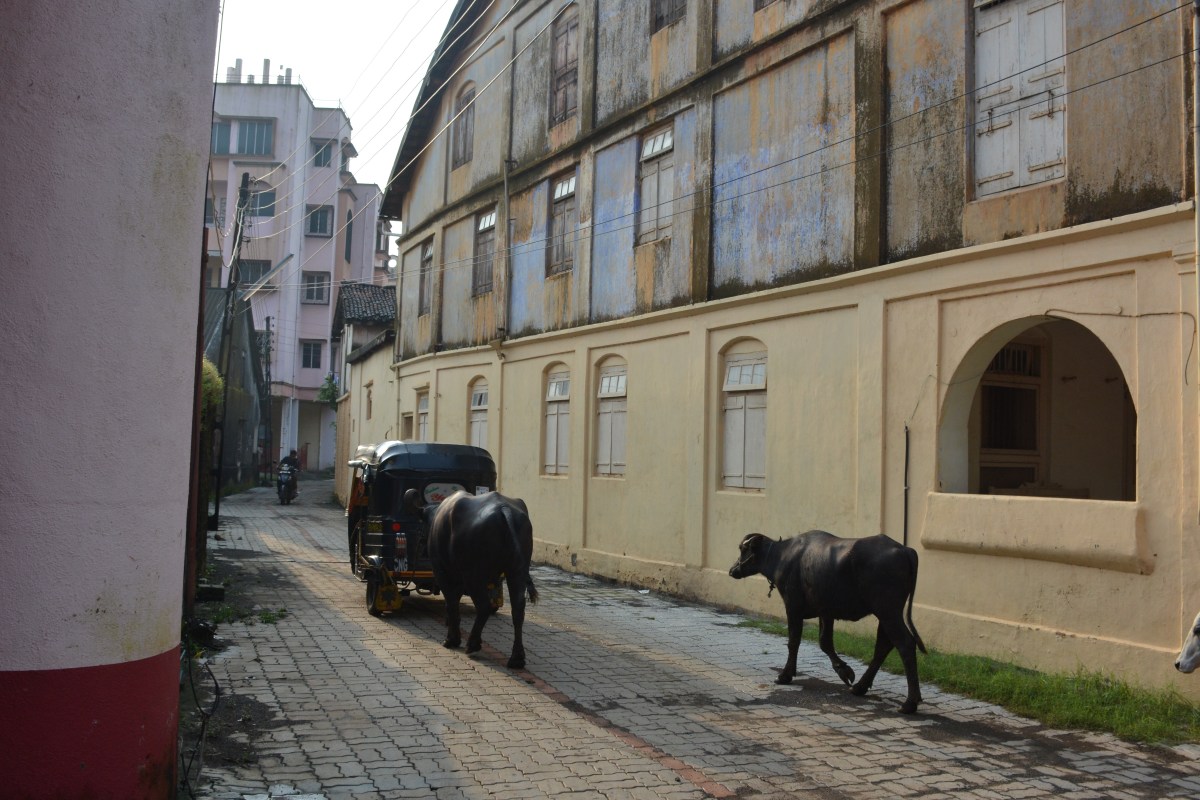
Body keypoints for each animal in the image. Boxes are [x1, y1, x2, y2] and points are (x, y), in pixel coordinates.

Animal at [406, 489, 538, 669]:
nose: (423, 547)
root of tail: (504, 509)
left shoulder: (444, 573)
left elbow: (451, 604)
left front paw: (452, 639)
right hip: (517, 571)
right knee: (518, 610)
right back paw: (516, 658)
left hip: (474, 575)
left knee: (483, 606)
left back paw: (472, 644)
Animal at [729, 530, 927, 713]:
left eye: (743, 549)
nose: (732, 570)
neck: (782, 556)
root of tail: (905, 550)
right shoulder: (825, 612)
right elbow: (825, 642)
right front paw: (844, 671)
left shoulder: (793, 607)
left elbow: (793, 642)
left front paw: (785, 675)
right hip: (885, 614)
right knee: (883, 646)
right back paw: (860, 687)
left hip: (888, 612)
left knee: (905, 644)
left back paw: (910, 702)